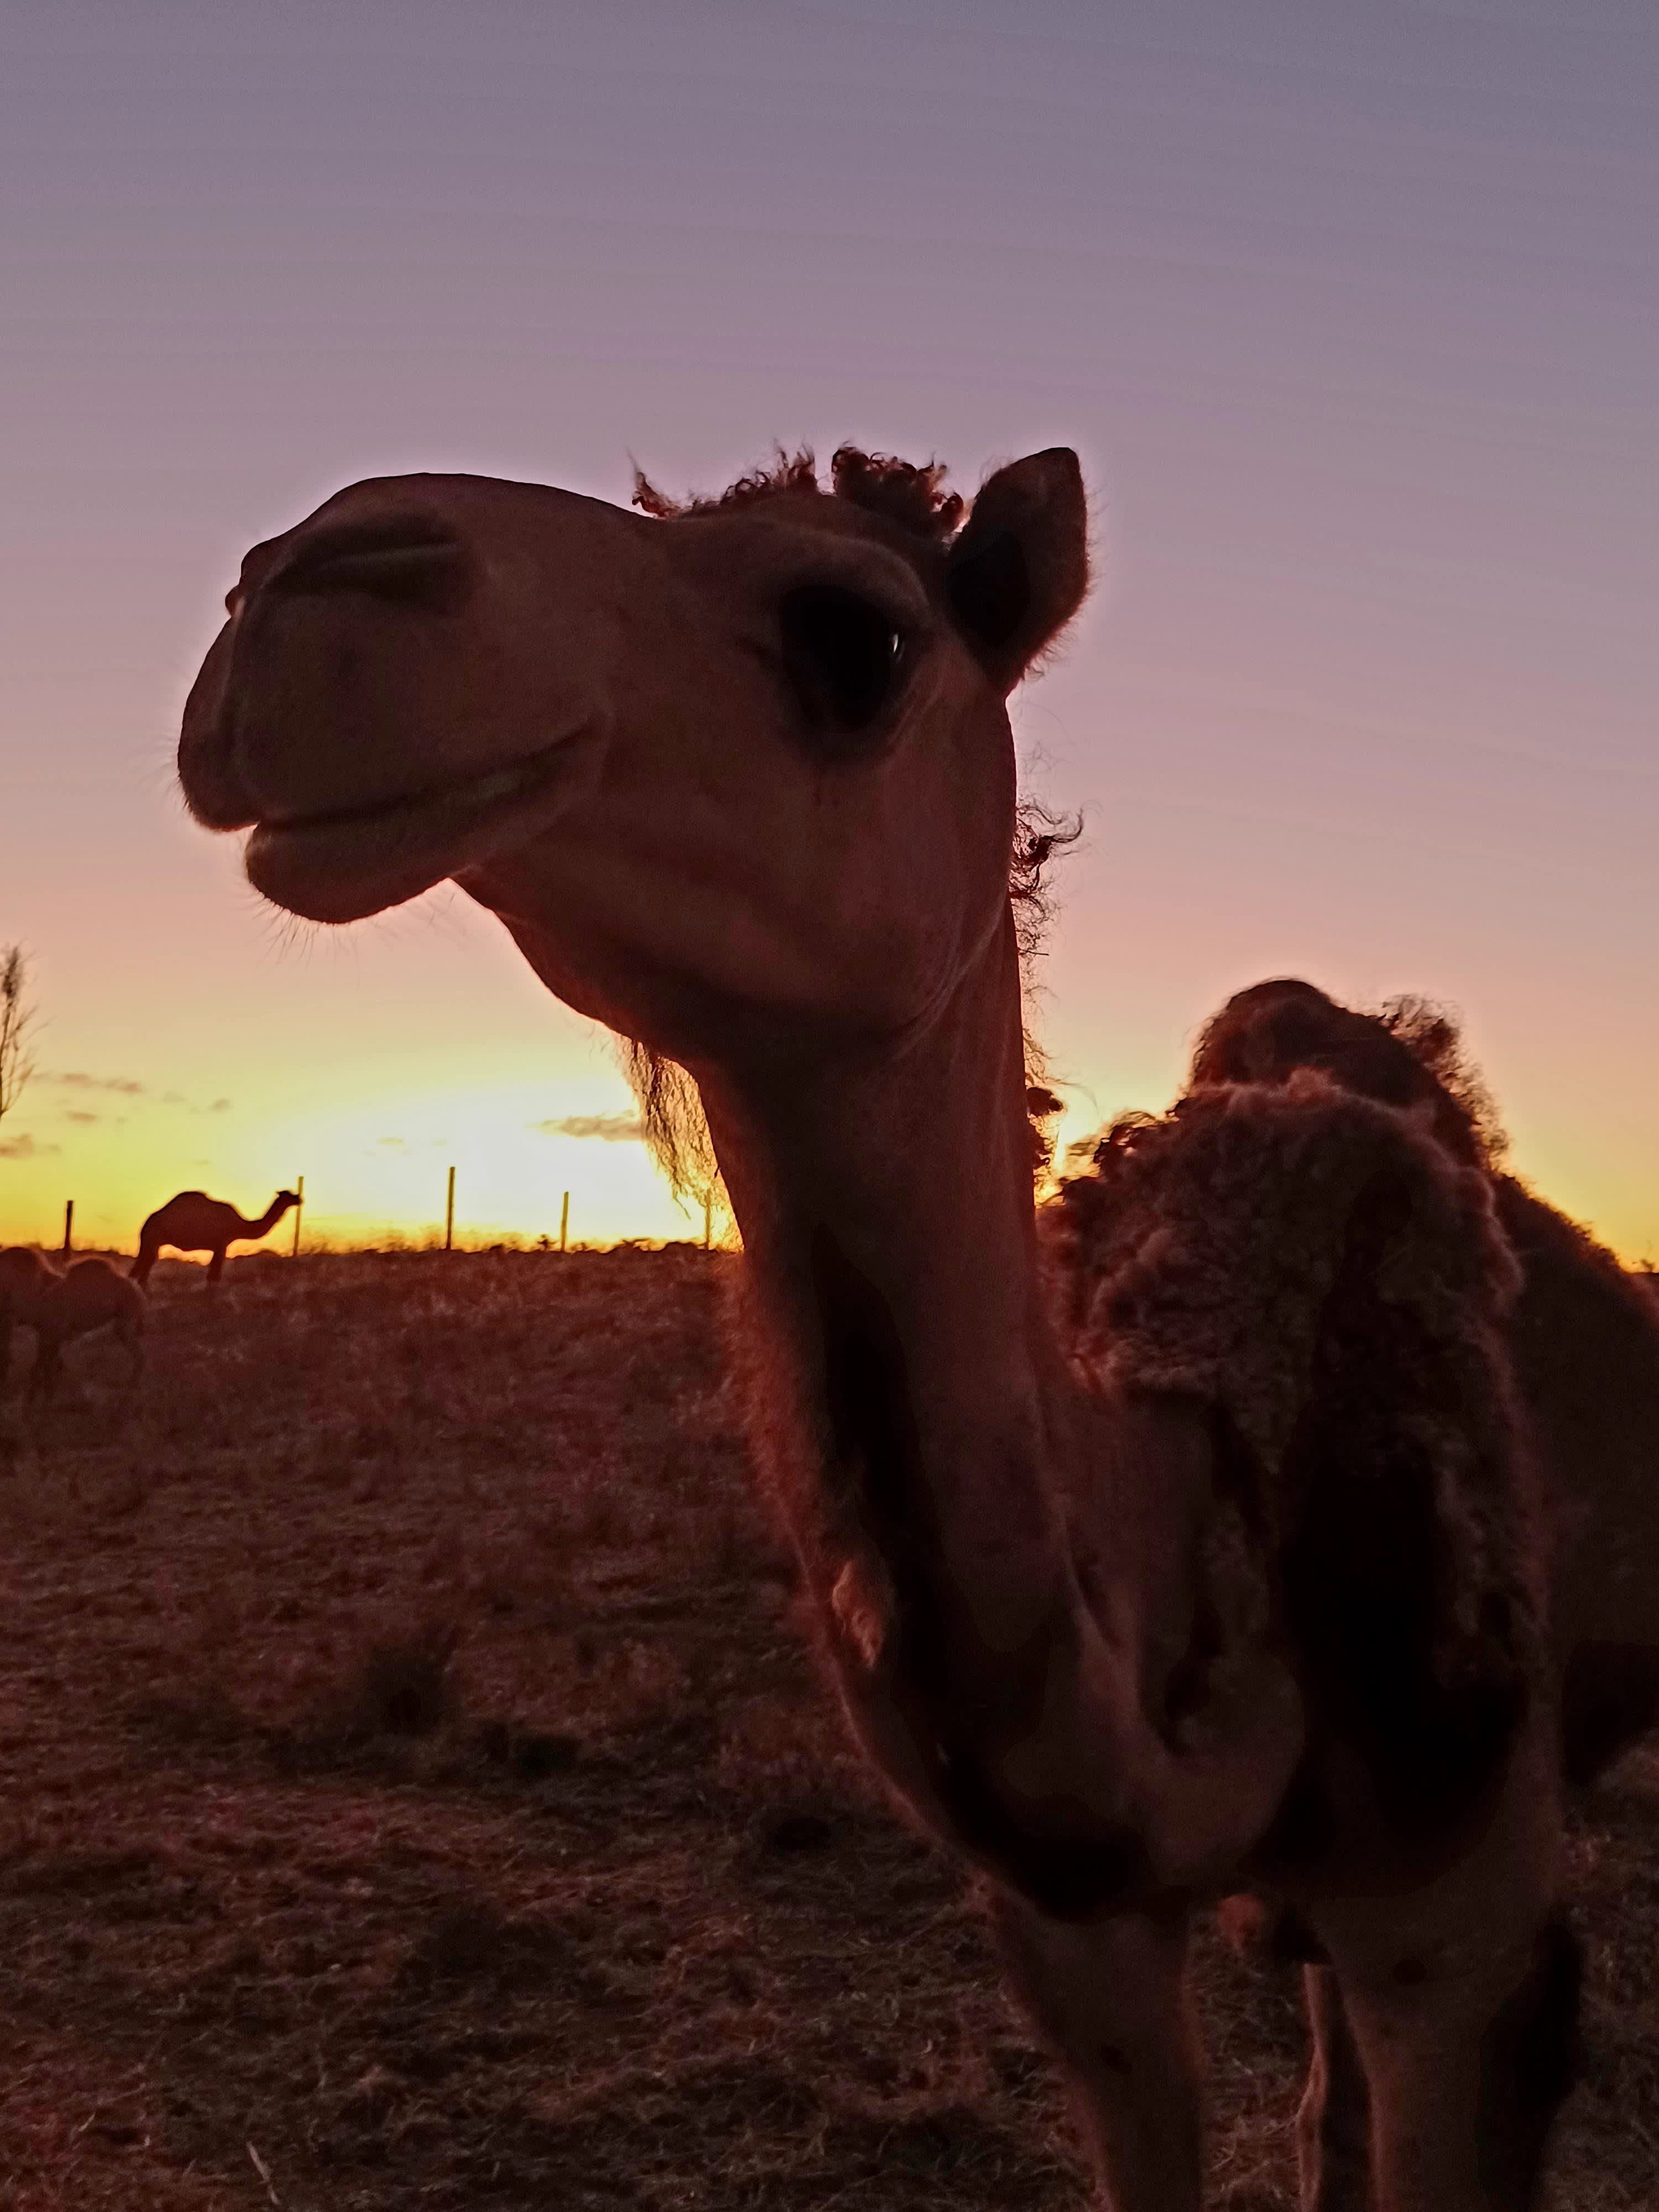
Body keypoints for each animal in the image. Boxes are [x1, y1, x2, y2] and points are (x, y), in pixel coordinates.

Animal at [131, 1188, 299, 1286]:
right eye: (289, 1195)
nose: (299, 1198)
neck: (238, 1224)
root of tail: (145, 1225)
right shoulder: (221, 1245)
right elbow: (215, 1276)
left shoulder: (218, 1248)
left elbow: (212, 1276)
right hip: (153, 1239)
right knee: (144, 1267)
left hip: (150, 1242)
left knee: (141, 1267)